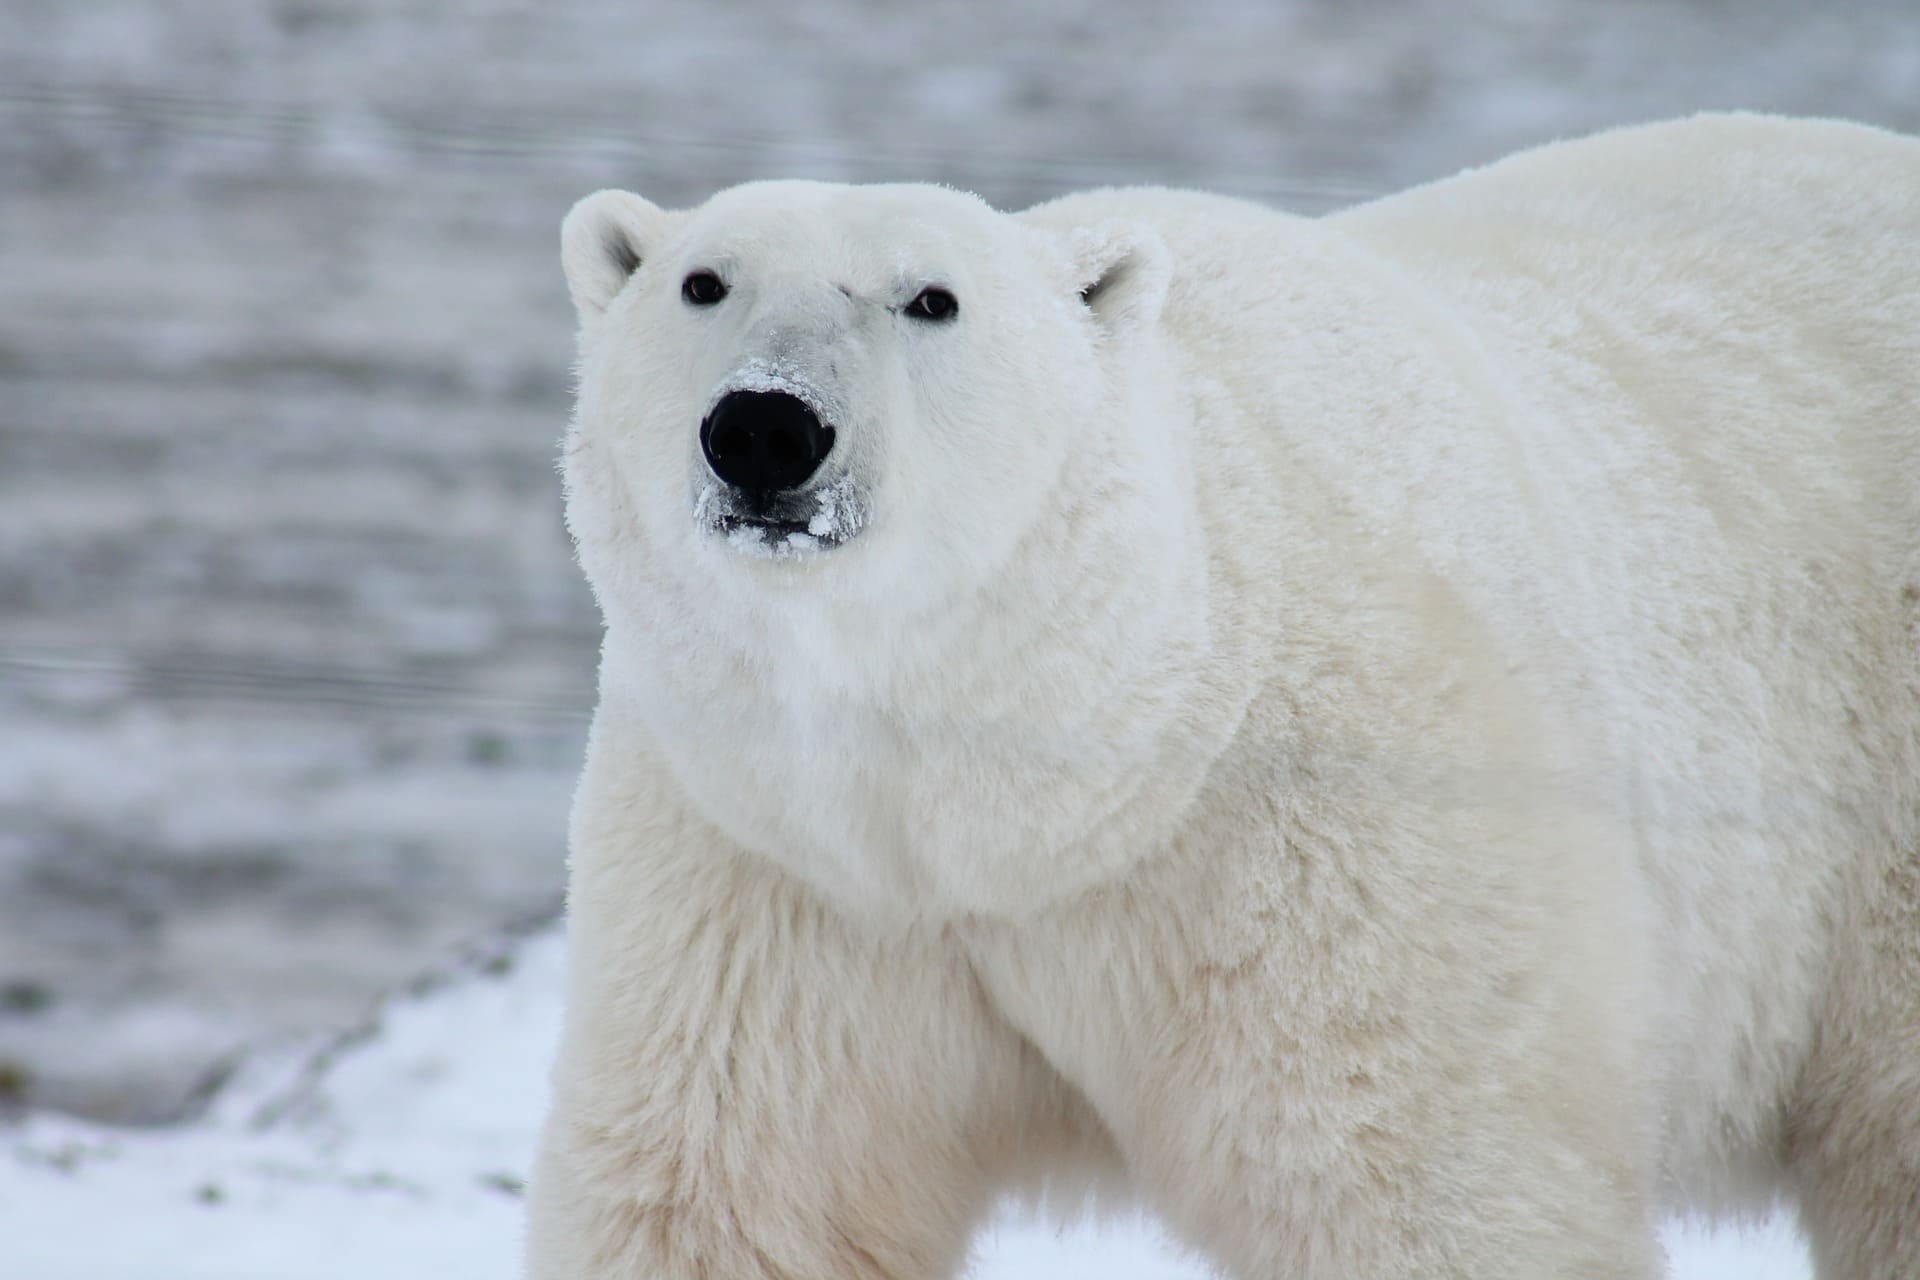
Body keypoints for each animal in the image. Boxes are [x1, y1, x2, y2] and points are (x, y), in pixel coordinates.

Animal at [528, 114, 1920, 1279]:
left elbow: (1418, 1184)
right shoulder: (780, 869)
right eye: (703, 281)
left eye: (932, 298)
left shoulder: (1334, 838)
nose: (766, 428)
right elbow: (738, 1194)